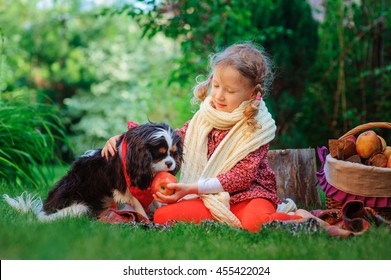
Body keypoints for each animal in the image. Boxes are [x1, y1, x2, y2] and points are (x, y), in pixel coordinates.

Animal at [4, 122, 183, 221]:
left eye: (173, 153)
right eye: (159, 154)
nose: (170, 163)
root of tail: (42, 211)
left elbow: (154, 202)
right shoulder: (125, 190)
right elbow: (138, 206)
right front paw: (146, 221)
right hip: (79, 208)